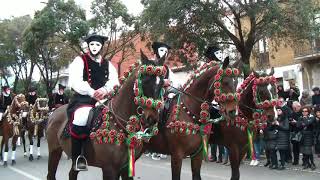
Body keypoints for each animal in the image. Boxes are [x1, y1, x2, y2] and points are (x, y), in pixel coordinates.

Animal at [47, 51, 166, 180]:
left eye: (162, 83)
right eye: (145, 81)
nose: (152, 119)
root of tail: (53, 113)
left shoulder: (125, 168)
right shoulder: (109, 169)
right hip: (54, 152)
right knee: (51, 174)